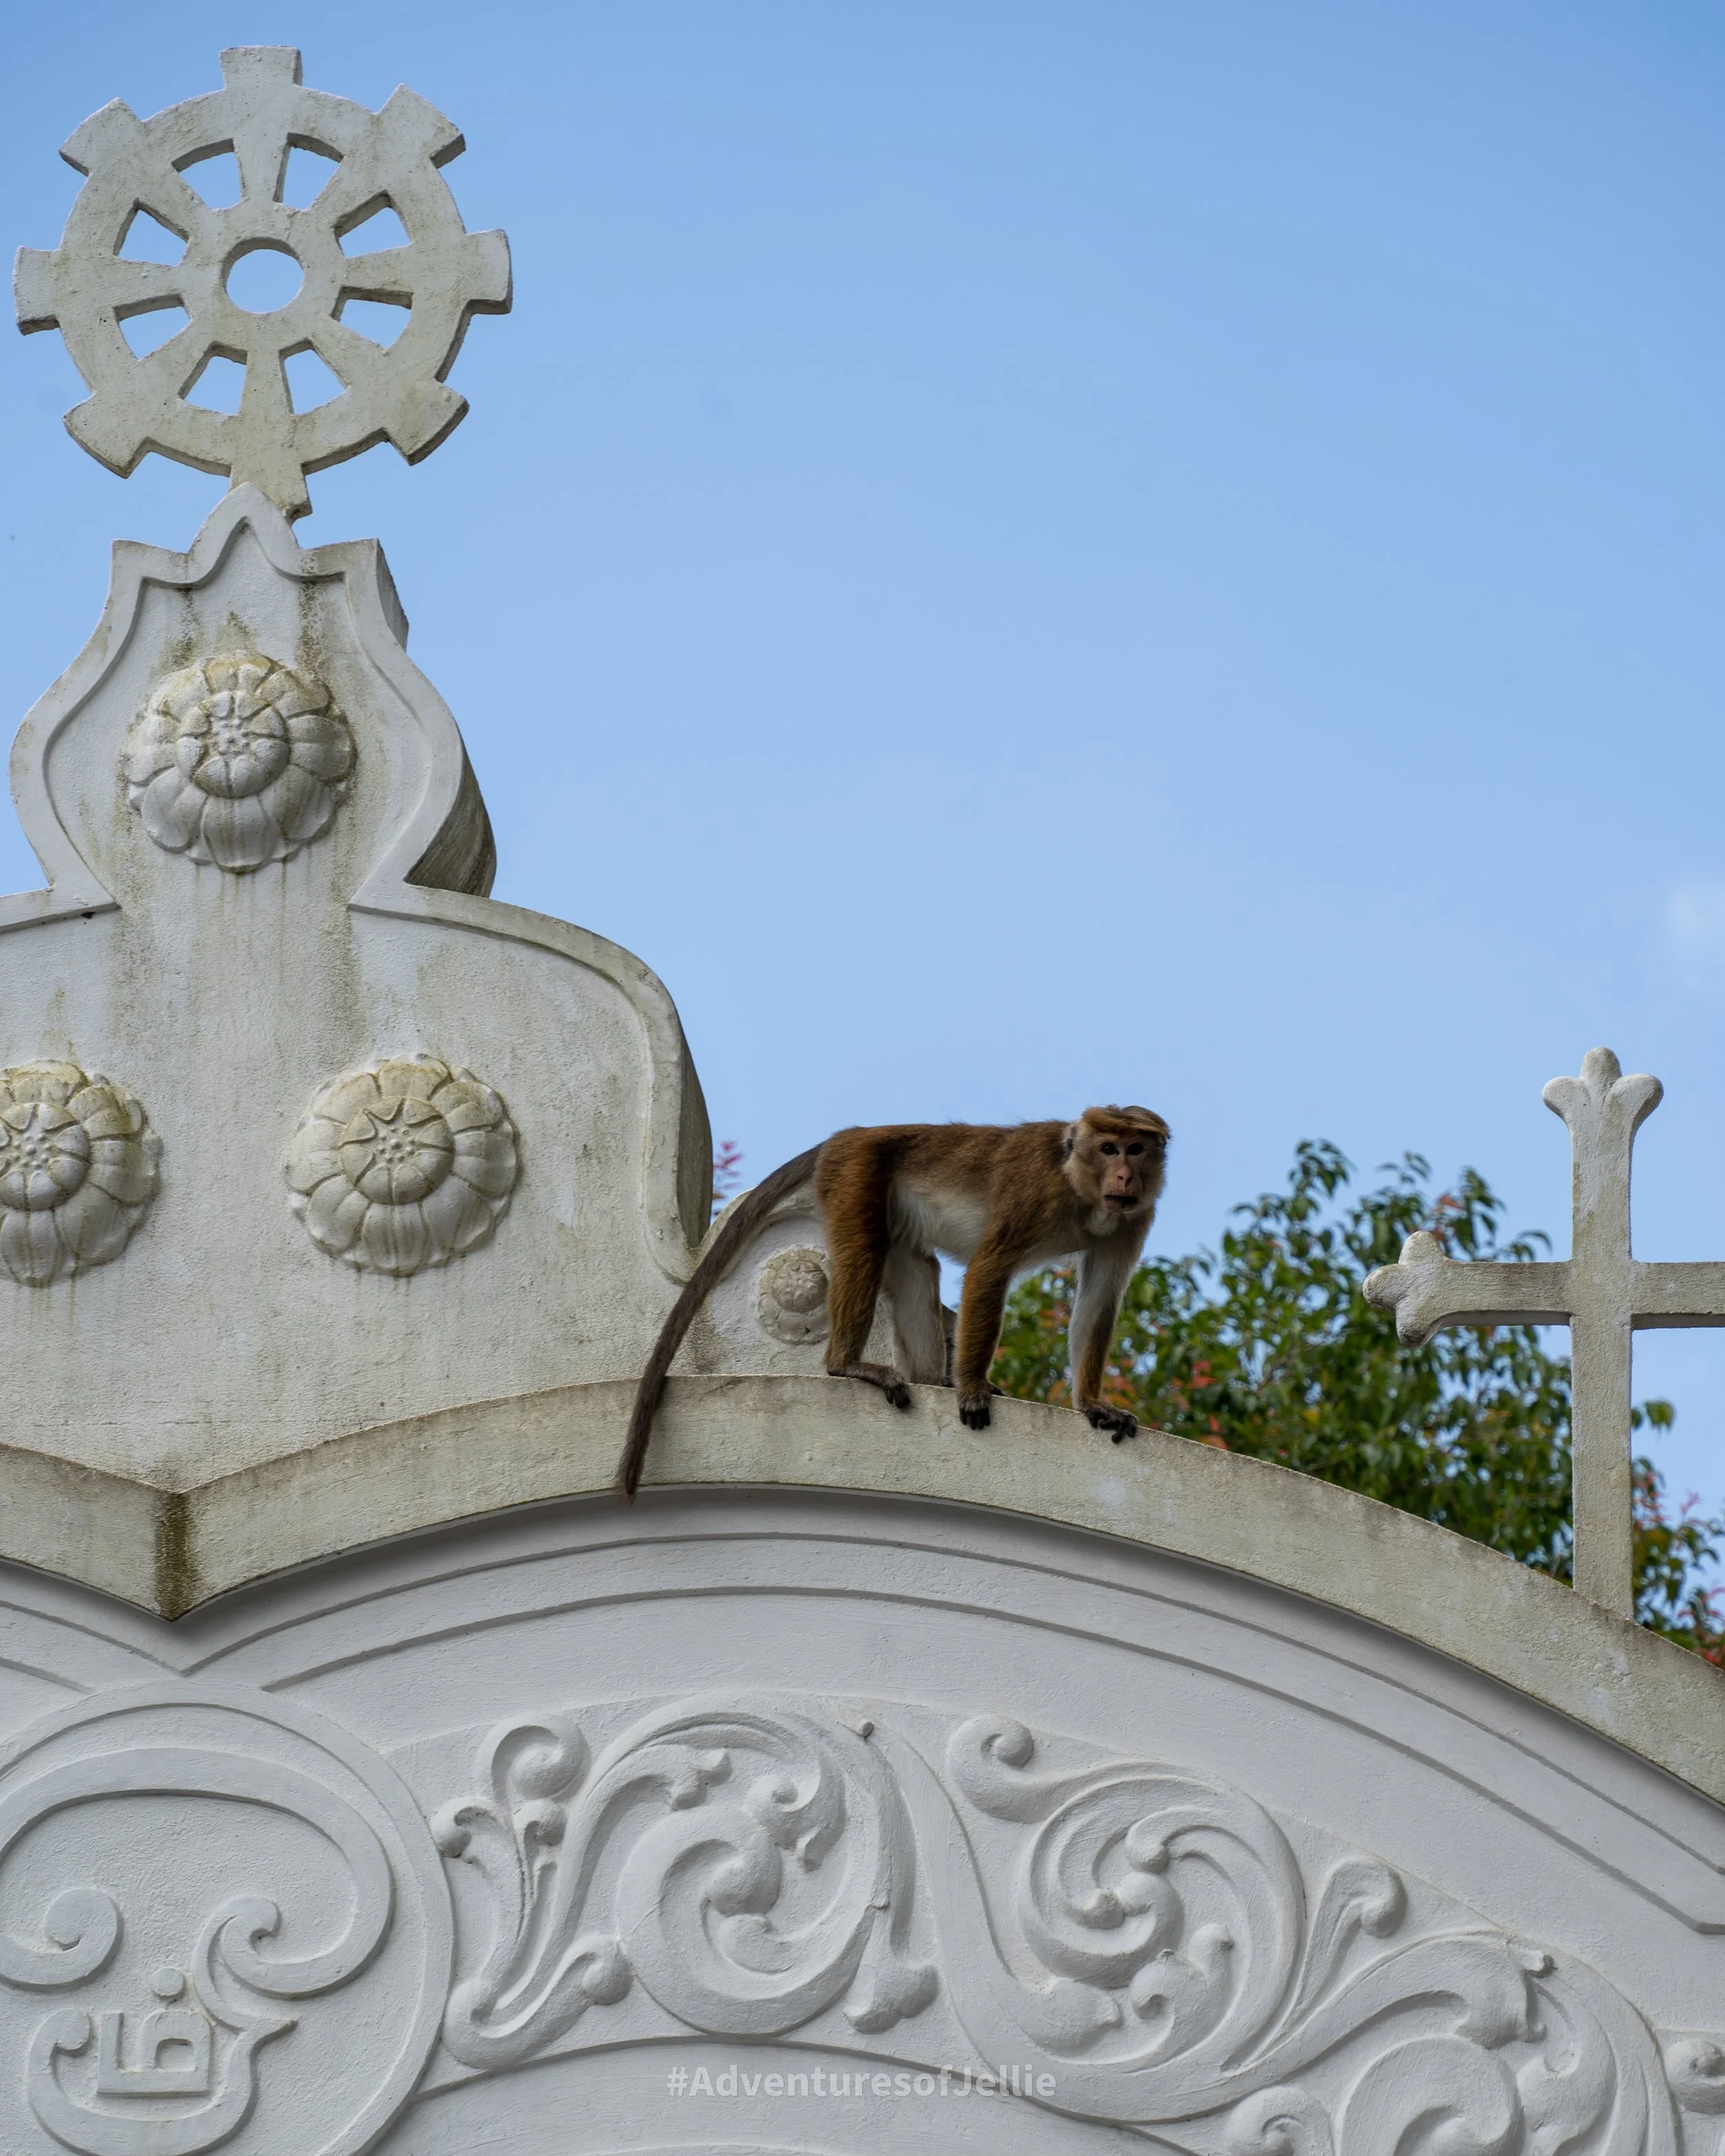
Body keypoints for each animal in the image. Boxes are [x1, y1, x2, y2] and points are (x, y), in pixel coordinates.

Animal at [615, 1104, 1169, 1500]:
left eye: (1136, 1149)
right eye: (1110, 1147)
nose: (1125, 1176)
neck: (1081, 1193)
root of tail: (848, 1134)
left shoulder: (1134, 1219)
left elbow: (1099, 1300)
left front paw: (1092, 1403)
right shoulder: (1034, 1191)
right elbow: (990, 1268)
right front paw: (972, 1389)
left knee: (917, 1269)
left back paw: (931, 1379)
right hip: (856, 1173)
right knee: (866, 1248)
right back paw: (849, 1365)